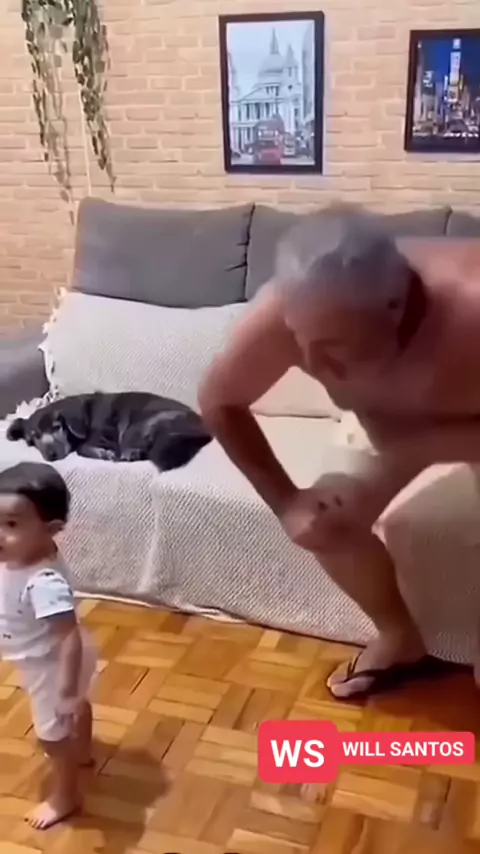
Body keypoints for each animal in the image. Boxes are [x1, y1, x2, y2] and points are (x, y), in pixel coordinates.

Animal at [6, 392, 212, 472]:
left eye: (57, 427)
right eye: (33, 437)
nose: (51, 455)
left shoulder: (107, 435)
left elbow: (82, 448)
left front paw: (103, 453)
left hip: (138, 428)